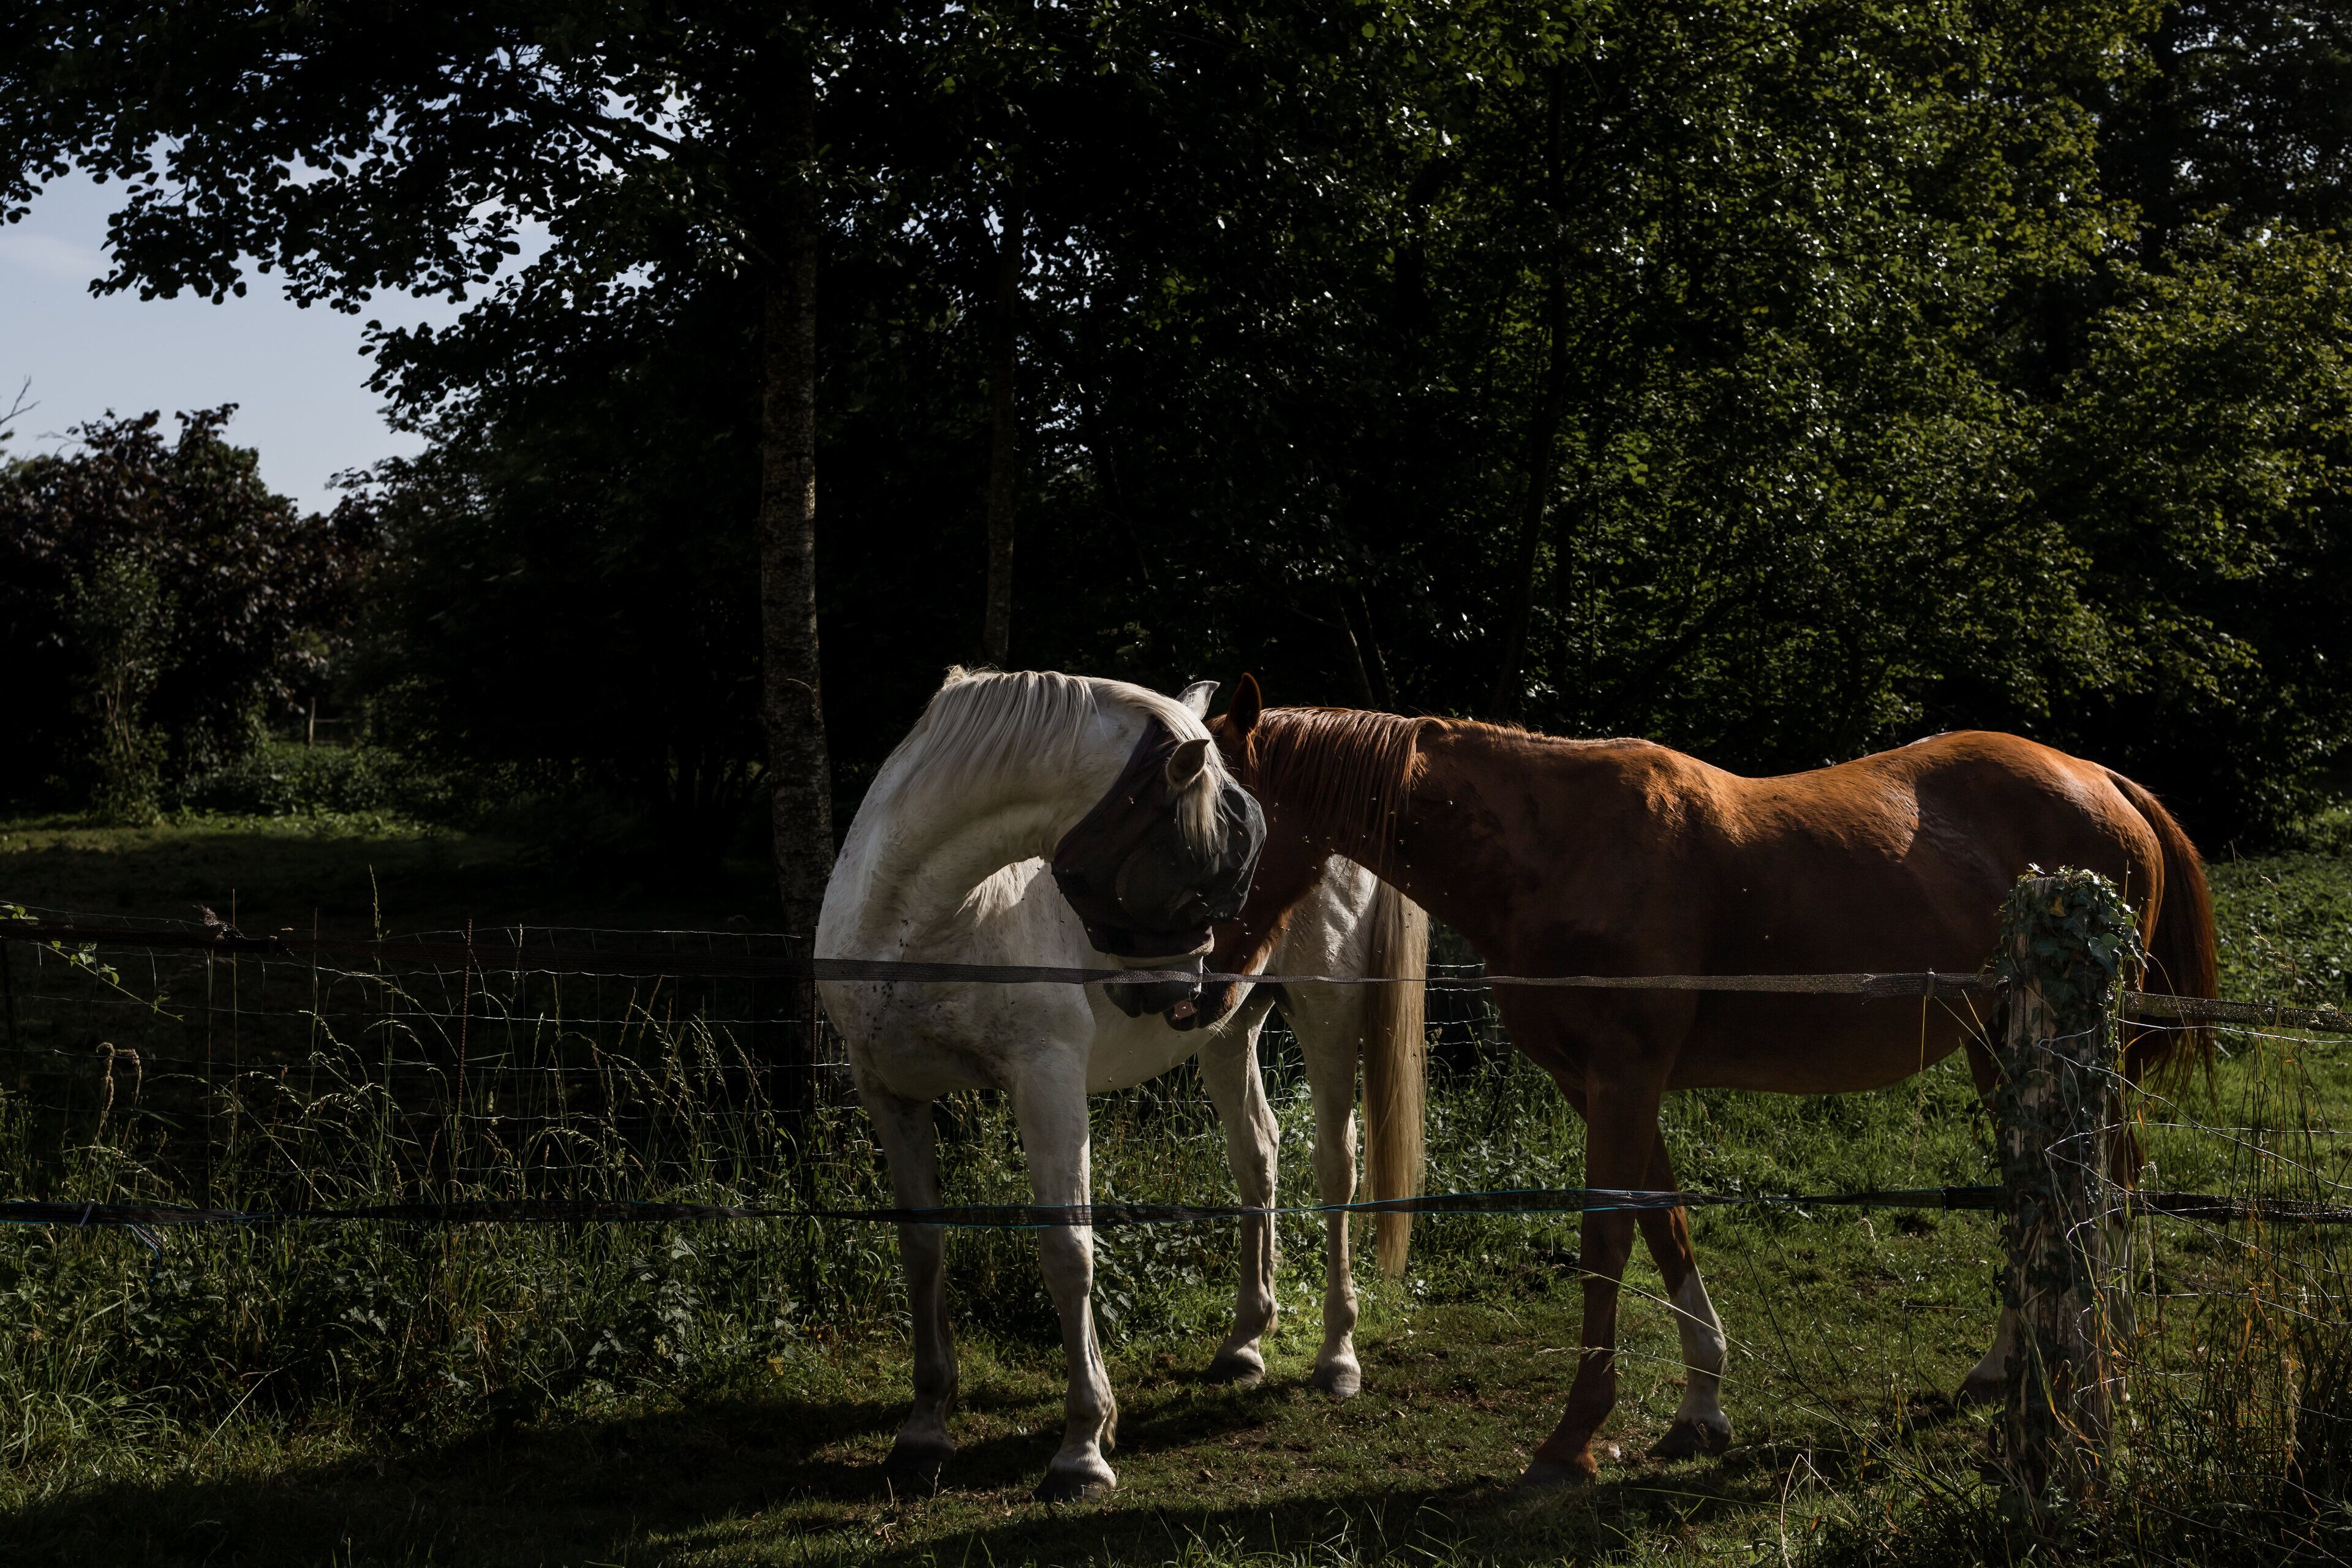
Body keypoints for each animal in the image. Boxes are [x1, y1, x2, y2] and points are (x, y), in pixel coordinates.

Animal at [816, 669, 1430, 1501]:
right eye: (1211, 864)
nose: (1186, 988)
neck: (922, 916)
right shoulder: (891, 1094)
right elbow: (922, 1250)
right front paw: (924, 1429)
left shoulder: (1047, 1083)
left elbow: (1068, 1252)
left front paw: (1083, 1446)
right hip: (1230, 1032)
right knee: (1258, 1155)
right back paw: (1244, 1343)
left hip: (1326, 1015)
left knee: (1336, 1165)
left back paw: (1337, 1357)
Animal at [1180, 676, 2217, 1485]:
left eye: (1217, 821)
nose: (1194, 992)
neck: (1561, 849)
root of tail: (2106, 781)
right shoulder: (1606, 1087)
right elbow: (1662, 1219)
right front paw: (1701, 1406)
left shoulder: (1624, 1080)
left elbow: (1606, 1241)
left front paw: (1574, 1437)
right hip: (2000, 1047)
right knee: (2045, 1183)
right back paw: (2007, 1364)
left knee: (2109, 1183)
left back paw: (2107, 1359)